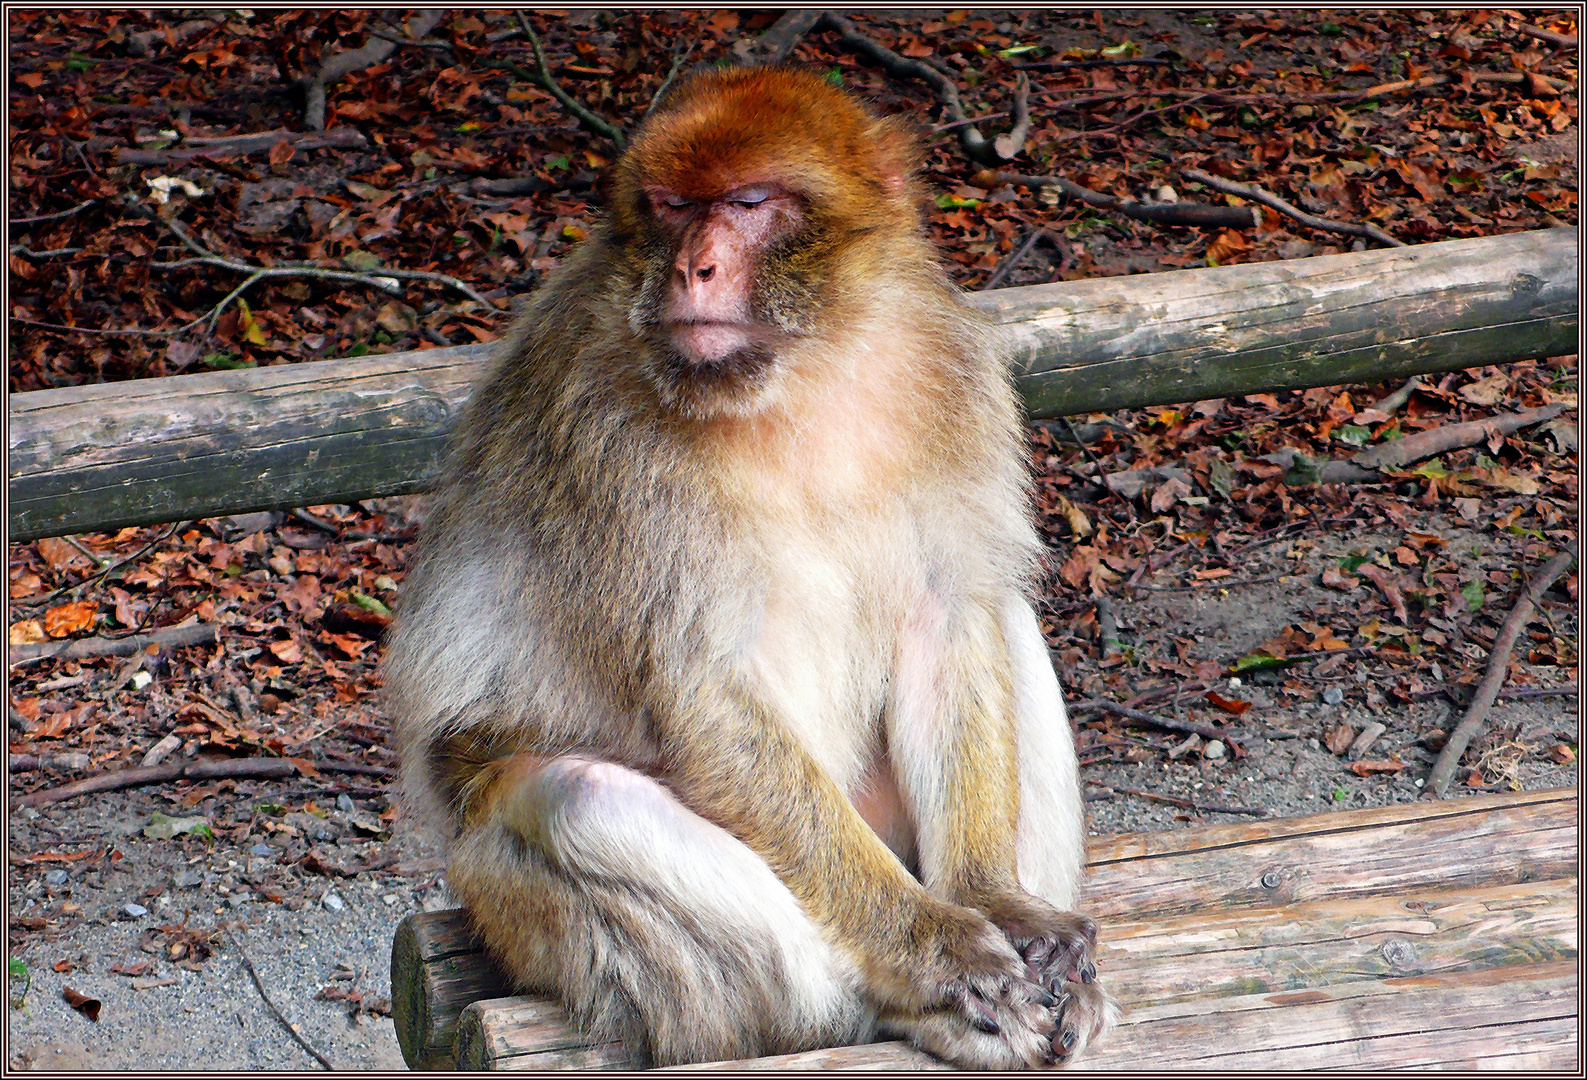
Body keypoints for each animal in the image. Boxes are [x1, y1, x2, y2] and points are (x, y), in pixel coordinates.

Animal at [382, 66, 1116, 1069]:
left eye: (748, 203)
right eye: (670, 206)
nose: (692, 267)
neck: (798, 369)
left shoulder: (952, 361)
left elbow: (949, 614)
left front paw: (998, 905)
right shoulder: (602, 432)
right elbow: (704, 696)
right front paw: (938, 949)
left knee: (1001, 614)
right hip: (517, 906)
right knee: (575, 800)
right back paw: (898, 1008)